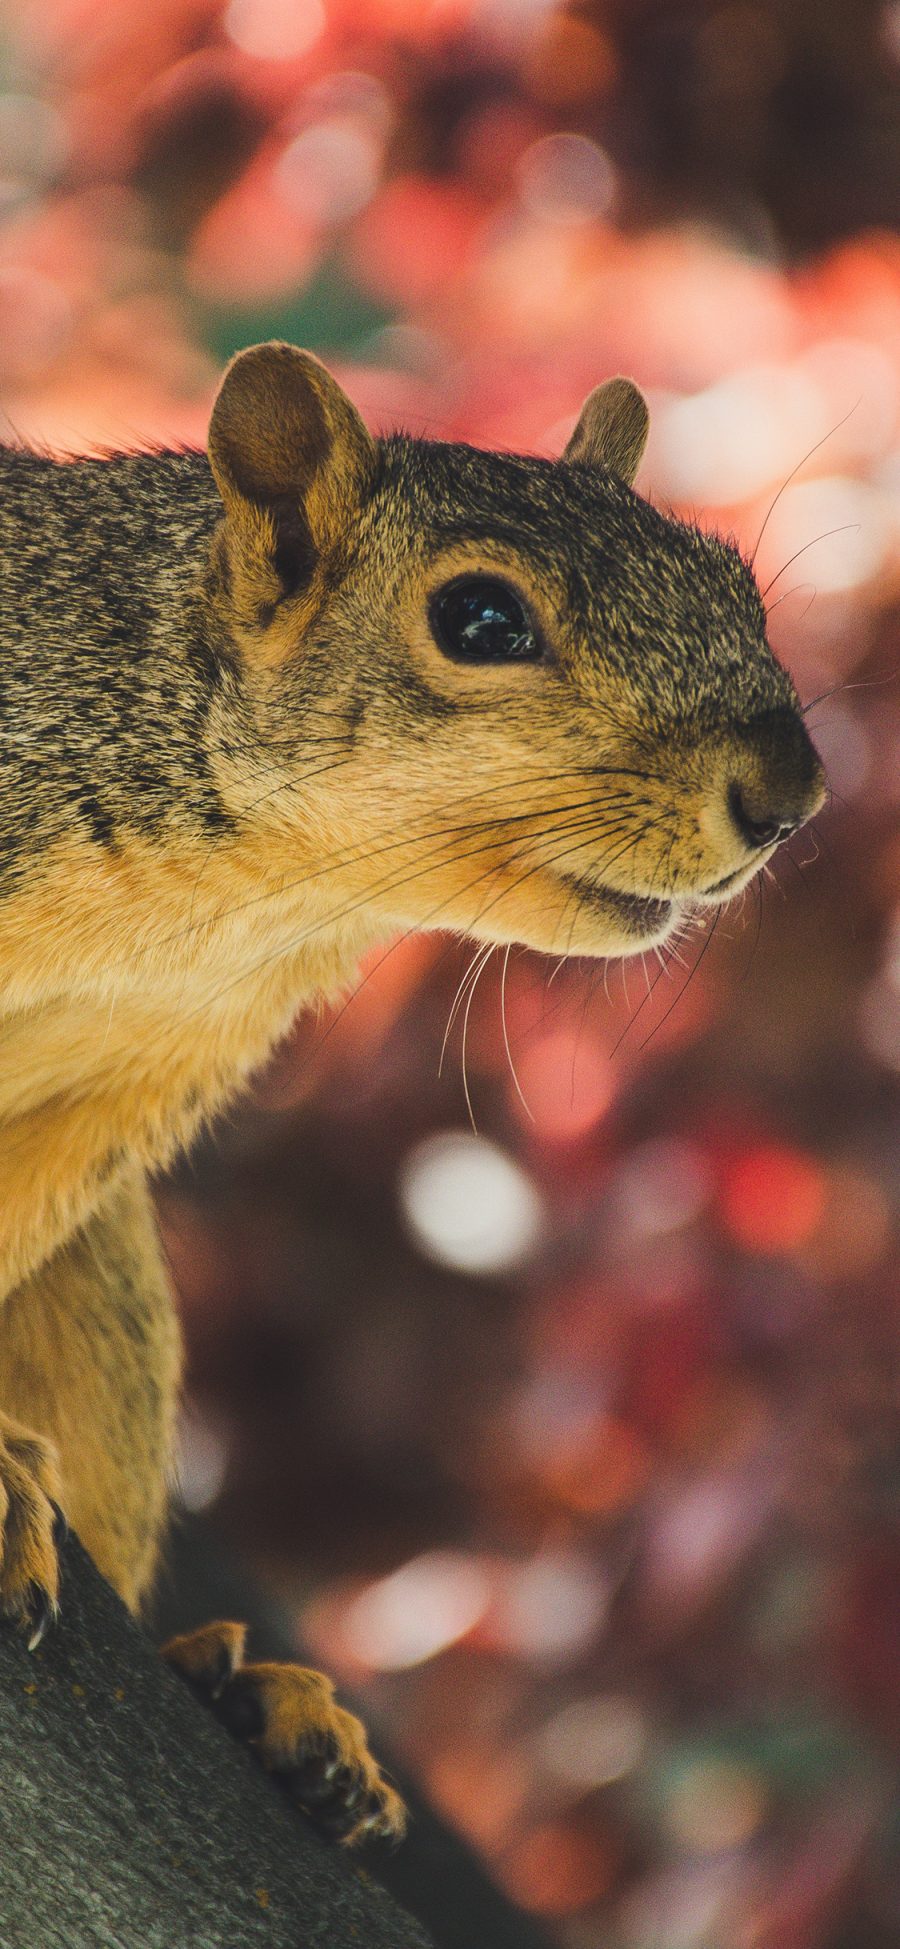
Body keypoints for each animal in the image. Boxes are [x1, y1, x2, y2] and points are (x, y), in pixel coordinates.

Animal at [0, 343, 822, 1847]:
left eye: (734, 579)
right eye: (481, 618)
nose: (792, 791)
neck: (232, 906)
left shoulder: (136, 1077)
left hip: (108, 1323)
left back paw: (247, 1698)